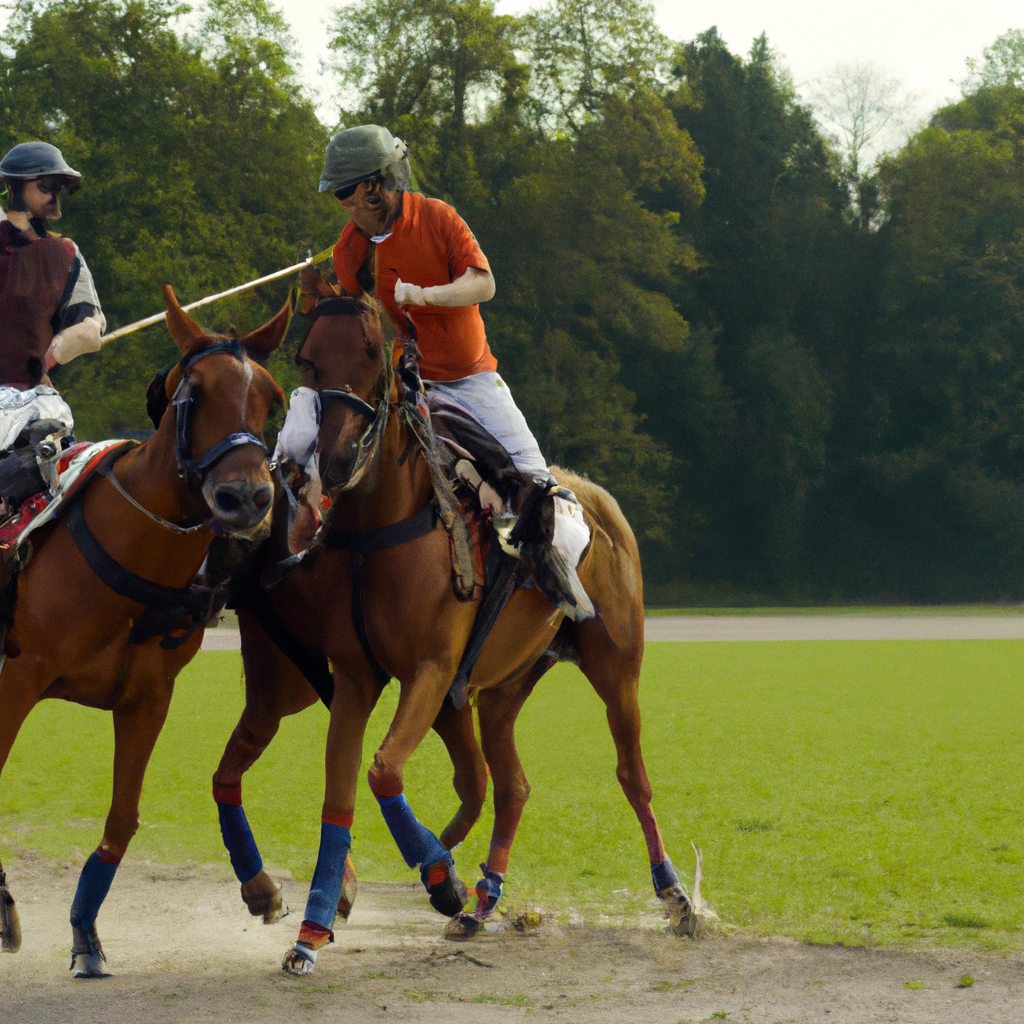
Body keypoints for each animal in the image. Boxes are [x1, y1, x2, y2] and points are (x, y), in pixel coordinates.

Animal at [0, 286, 290, 974]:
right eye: (195, 393)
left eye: (271, 398)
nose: (247, 498)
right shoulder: (16, 679)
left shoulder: (147, 699)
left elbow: (123, 817)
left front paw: (85, 932)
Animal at [215, 299, 696, 974]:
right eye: (307, 358)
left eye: (372, 352)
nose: (331, 461)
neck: (381, 525)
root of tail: (597, 496)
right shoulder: (358, 678)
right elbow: (345, 790)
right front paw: (314, 930)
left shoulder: (432, 671)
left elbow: (383, 771)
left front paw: (439, 880)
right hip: (501, 690)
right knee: (511, 785)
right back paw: (481, 900)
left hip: (615, 670)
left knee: (631, 774)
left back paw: (674, 896)